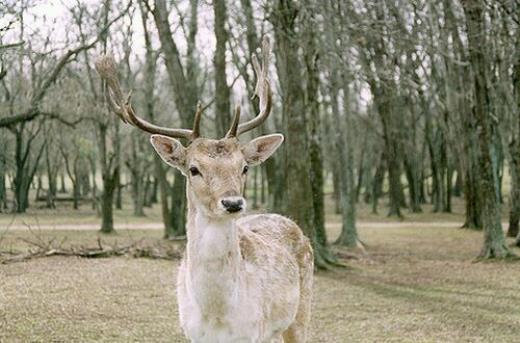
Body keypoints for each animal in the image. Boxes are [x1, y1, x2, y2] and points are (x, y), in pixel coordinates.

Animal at [94, 37, 312, 343]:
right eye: (194, 169)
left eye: (244, 167)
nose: (233, 203)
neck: (217, 313)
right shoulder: (193, 334)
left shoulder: (253, 332)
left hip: (300, 311)